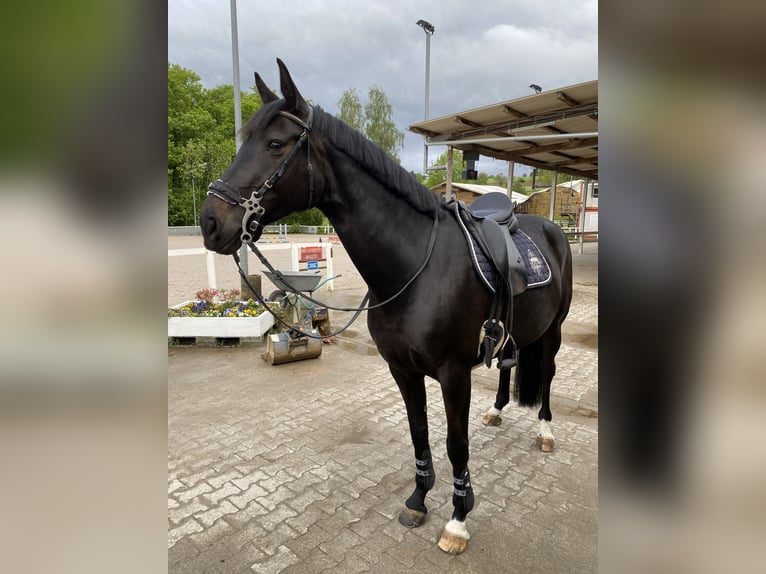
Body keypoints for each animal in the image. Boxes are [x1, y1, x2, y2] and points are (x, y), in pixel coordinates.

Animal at [201, 59, 572, 560]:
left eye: (275, 144)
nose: (210, 223)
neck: (416, 265)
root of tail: (549, 226)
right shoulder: (402, 369)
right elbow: (419, 433)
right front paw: (418, 499)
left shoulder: (454, 374)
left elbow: (456, 444)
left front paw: (458, 520)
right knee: (509, 365)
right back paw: (496, 412)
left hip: (553, 332)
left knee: (547, 376)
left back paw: (546, 433)